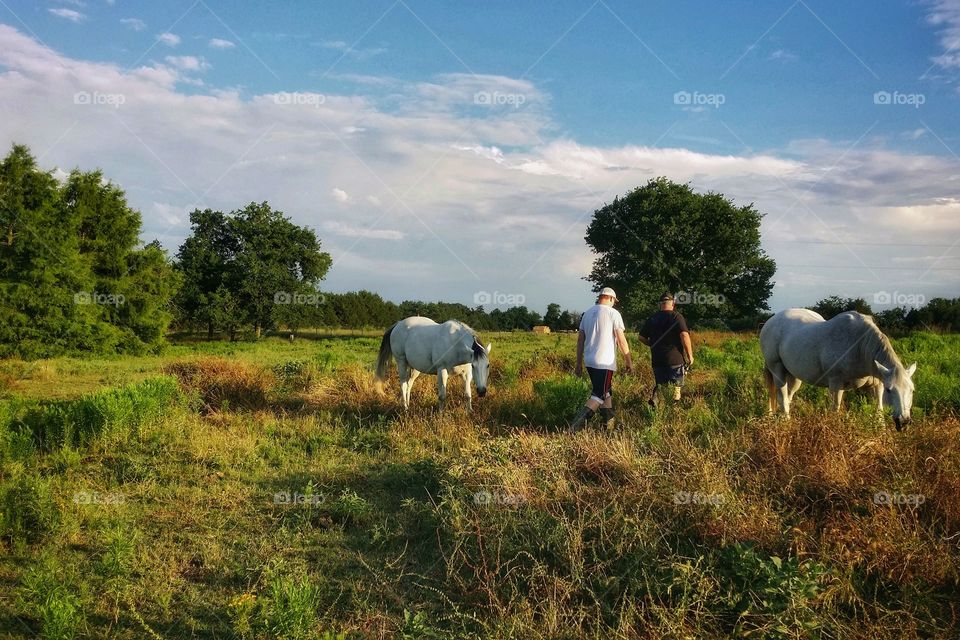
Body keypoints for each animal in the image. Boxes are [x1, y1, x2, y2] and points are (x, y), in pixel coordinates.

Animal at [760, 310, 920, 430]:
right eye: (889, 390)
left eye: (912, 390)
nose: (904, 422)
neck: (860, 347)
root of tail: (770, 321)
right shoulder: (836, 384)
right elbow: (835, 411)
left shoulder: (876, 385)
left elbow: (878, 411)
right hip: (777, 369)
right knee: (782, 397)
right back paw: (785, 424)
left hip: (794, 377)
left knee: (788, 396)